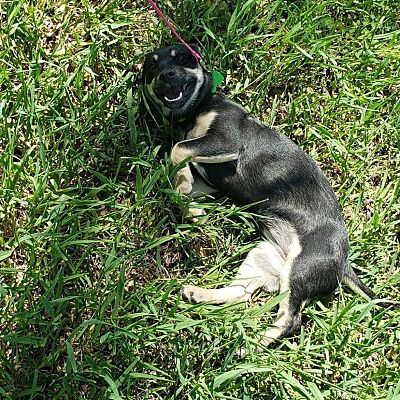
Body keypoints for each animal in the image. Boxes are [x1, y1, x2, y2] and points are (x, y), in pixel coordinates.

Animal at [142, 42, 398, 352]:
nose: (166, 74)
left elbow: (178, 148)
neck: (196, 109)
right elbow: (178, 168)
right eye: (151, 67)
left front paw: (182, 188)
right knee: (242, 293)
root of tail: (344, 264)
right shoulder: (208, 177)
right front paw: (188, 203)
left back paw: (252, 346)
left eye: (182, 57)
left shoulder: (225, 141)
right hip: (263, 256)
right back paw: (201, 295)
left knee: (291, 320)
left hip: (300, 268)